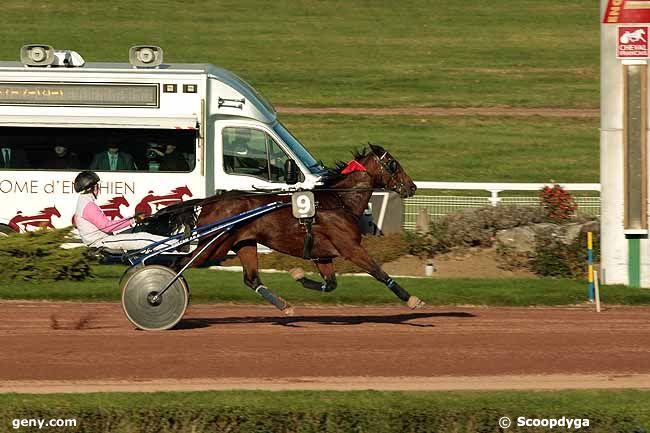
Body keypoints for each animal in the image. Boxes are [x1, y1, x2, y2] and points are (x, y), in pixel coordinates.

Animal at [152, 144, 420, 314]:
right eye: (393, 164)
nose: (412, 186)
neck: (338, 201)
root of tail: (210, 200)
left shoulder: (322, 254)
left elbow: (330, 284)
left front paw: (298, 275)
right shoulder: (351, 248)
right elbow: (379, 272)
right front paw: (412, 300)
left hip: (242, 243)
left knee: (251, 278)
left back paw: (284, 305)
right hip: (214, 246)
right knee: (178, 263)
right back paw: (156, 295)